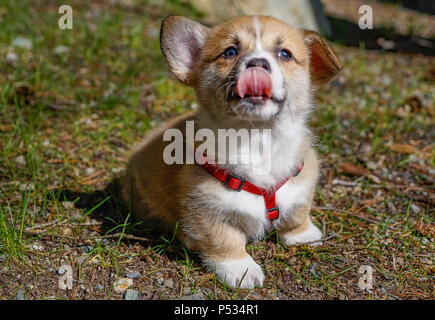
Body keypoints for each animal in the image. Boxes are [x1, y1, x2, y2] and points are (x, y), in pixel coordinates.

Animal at [122, 15, 340, 290]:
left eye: (285, 54)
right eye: (230, 52)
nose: (258, 63)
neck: (259, 138)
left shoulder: (303, 182)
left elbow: (297, 213)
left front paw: (304, 236)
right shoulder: (206, 208)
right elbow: (224, 240)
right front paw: (242, 270)